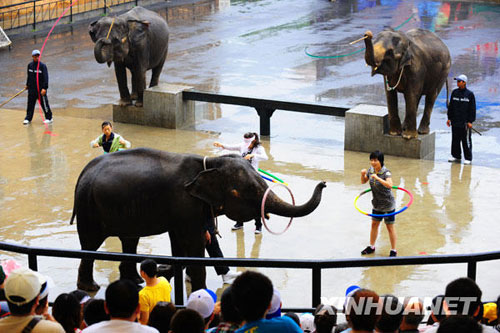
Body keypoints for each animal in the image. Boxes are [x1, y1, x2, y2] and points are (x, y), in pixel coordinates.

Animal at [71, 148, 328, 290]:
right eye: (242, 192)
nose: (324, 182)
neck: (209, 162)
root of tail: (82, 173)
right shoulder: (183, 203)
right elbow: (194, 242)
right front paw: (198, 288)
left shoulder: (188, 207)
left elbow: (191, 240)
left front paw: (172, 272)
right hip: (89, 208)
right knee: (90, 245)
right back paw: (90, 287)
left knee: (129, 240)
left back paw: (135, 281)